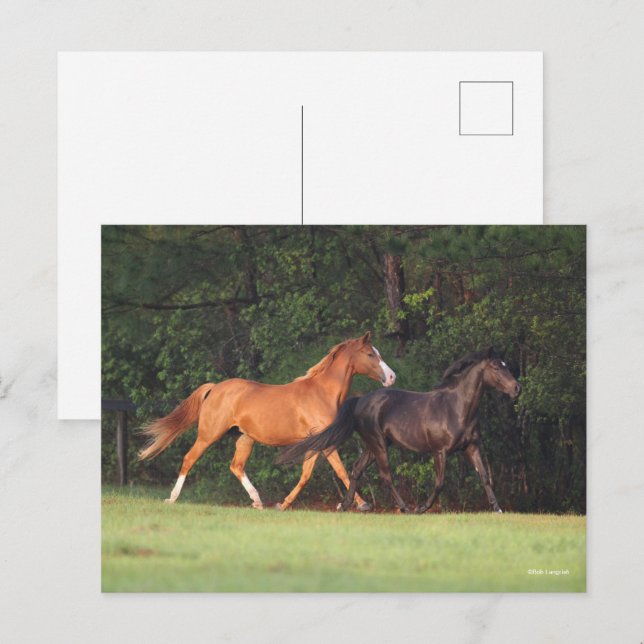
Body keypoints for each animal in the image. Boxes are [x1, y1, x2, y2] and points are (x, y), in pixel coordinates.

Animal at [138, 331, 396, 511]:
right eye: (371, 354)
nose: (392, 377)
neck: (322, 392)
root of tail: (215, 388)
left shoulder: (315, 443)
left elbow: (306, 475)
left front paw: (283, 504)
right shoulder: (325, 442)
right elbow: (341, 471)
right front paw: (361, 504)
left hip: (245, 438)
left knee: (236, 466)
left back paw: (257, 500)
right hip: (208, 435)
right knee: (189, 459)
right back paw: (172, 498)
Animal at [277, 347, 520, 514]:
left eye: (506, 364)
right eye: (496, 367)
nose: (517, 388)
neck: (457, 408)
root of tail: (360, 400)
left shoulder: (471, 447)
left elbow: (485, 477)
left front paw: (497, 509)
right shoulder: (440, 451)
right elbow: (439, 482)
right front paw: (422, 507)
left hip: (373, 445)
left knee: (356, 469)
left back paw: (345, 505)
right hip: (378, 444)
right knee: (386, 475)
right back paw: (404, 507)